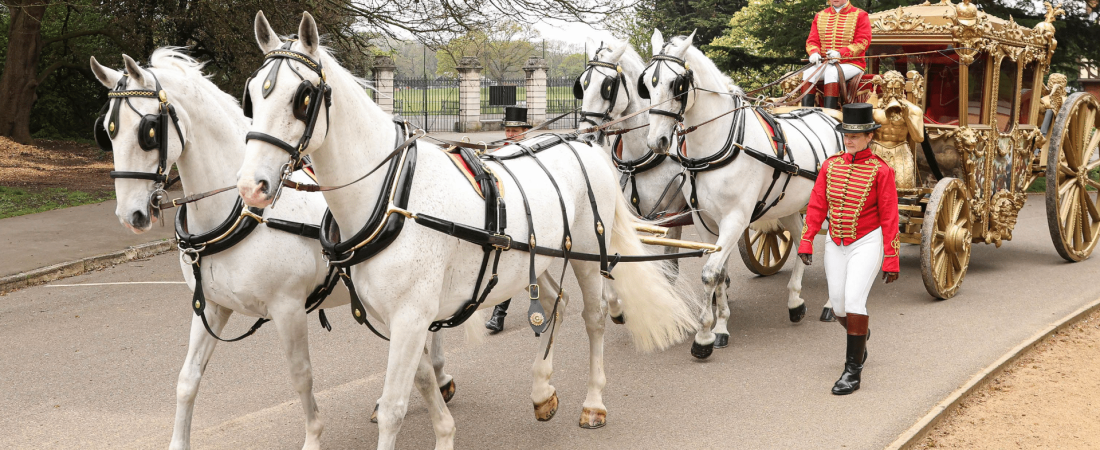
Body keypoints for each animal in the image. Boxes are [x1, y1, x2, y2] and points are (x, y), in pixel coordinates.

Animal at [89, 48, 459, 448]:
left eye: (148, 131)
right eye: (107, 130)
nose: (131, 214)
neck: (241, 211)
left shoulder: (288, 308)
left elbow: (302, 377)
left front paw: (314, 435)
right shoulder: (212, 306)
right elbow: (187, 380)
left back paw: (439, 375)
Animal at [234, 12, 695, 446]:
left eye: (302, 97)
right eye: (251, 95)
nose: (250, 185)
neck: (392, 194)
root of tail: (581, 143)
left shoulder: (410, 315)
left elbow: (395, 407)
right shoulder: (402, 317)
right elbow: (420, 382)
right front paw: (444, 430)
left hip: (585, 252)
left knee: (593, 317)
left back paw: (594, 402)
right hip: (540, 259)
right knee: (557, 305)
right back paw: (542, 391)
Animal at [638, 28, 840, 358]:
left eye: (676, 83)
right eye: (647, 84)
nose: (658, 141)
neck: (721, 143)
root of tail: (832, 117)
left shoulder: (735, 219)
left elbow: (709, 273)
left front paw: (703, 337)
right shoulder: (706, 222)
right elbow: (719, 272)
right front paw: (719, 328)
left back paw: (831, 305)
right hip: (789, 205)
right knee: (802, 241)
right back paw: (795, 302)